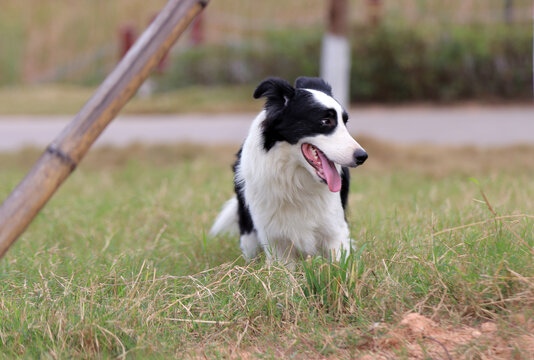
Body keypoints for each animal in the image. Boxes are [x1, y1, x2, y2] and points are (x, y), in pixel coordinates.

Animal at [209, 77, 368, 266]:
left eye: (345, 122)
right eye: (326, 121)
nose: (362, 156)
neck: (294, 178)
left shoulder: (335, 229)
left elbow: (339, 265)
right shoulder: (274, 238)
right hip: (248, 233)